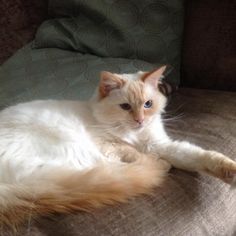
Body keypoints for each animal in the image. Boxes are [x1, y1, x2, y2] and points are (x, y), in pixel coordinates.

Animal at [0, 66, 236, 225]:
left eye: (148, 104)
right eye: (125, 107)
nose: (140, 120)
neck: (134, 135)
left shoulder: (160, 145)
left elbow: (200, 156)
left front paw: (230, 172)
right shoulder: (107, 144)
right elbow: (129, 151)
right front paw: (150, 158)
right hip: (71, 146)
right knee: (121, 170)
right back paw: (159, 165)